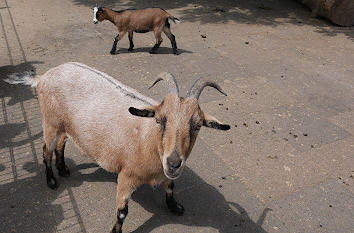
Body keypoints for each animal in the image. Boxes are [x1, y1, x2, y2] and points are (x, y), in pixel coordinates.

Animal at [4, 62, 230, 233]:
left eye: (197, 125)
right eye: (159, 120)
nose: (174, 162)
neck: (150, 139)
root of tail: (43, 77)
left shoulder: (166, 172)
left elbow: (170, 187)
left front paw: (175, 206)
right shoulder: (126, 175)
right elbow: (122, 211)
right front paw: (115, 230)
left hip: (65, 125)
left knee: (62, 143)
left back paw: (64, 169)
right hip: (50, 122)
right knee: (46, 150)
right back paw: (52, 180)